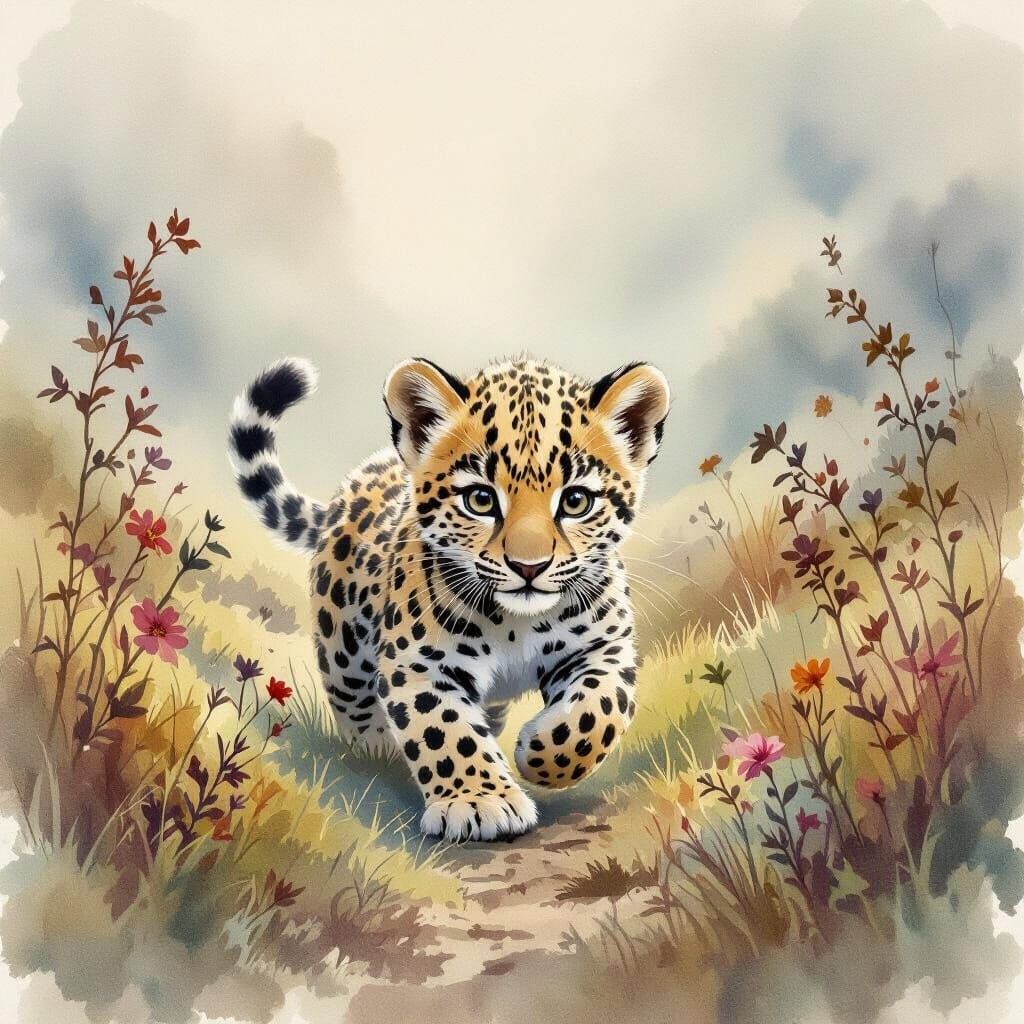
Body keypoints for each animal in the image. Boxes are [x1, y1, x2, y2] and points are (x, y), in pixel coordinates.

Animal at [229, 355, 670, 841]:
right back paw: (375, 746)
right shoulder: (419, 665)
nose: (529, 567)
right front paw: (481, 803)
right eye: (480, 499)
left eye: (575, 501)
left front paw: (541, 755)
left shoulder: (603, 648)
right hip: (343, 647)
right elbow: (446, 731)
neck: (516, 623)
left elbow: (600, 710)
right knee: (352, 699)